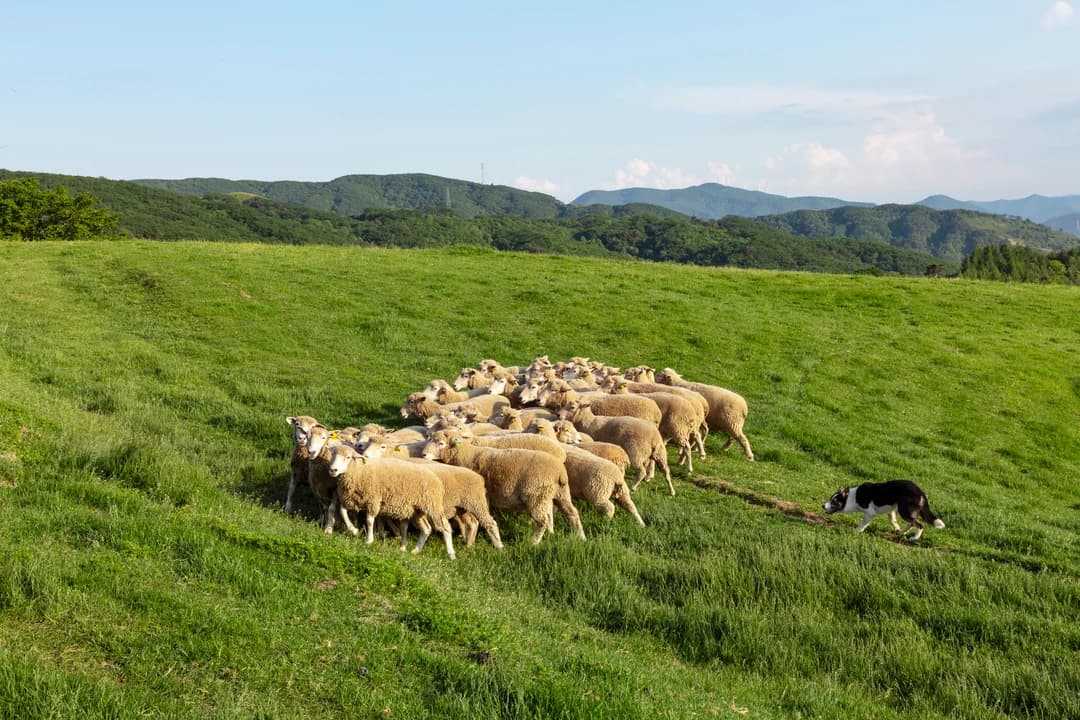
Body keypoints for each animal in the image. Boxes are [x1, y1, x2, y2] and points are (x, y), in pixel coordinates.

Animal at [326, 445, 456, 560]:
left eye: (348, 457)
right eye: (333, 454)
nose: (333, 470)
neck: (360, 470)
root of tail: (437, 480)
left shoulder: (373, 500)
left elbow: (369, 521)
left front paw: (369, 540)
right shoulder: (349, 498)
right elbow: (342, 511)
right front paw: (354, 530)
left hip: (432, 506)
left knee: (445, 527)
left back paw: (451, 554)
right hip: (417, 510)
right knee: (426, 529)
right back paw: (414, 550)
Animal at [423, 429, 585, 544]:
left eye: (441, 443)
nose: (423, 454)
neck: (466, 454)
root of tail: (559, 471)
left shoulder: (478, 494)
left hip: (535, 496)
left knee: (543, 520)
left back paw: (534, 542)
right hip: (560, 493)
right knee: (572, 513)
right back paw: (581, 537)